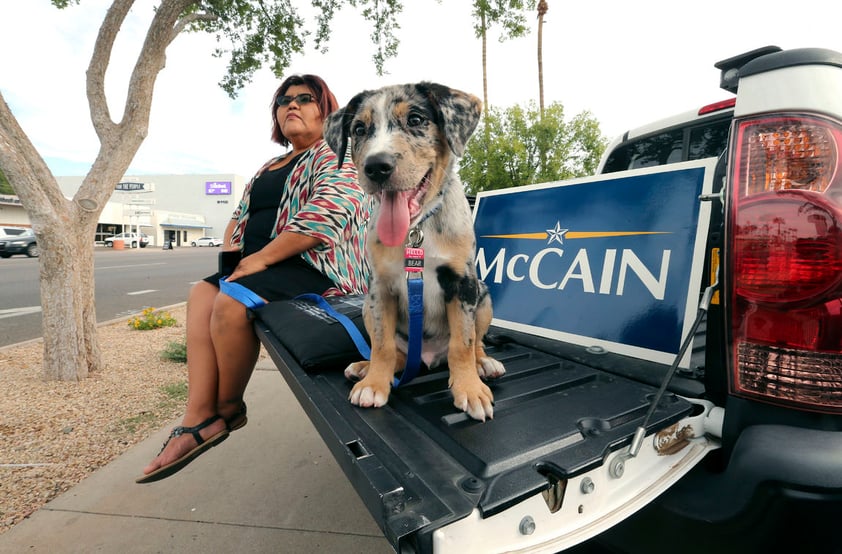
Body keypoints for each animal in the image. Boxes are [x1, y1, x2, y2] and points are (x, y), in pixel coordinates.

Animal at [324, 82, 506, 418]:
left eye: (416, 120)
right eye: (359, 129)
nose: (376, 167)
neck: (417, 229)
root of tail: (428, 356)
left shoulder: (462, 283)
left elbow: (463, 342)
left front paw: (470, 390)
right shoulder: (380, 288)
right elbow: (382, 345)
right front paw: (375, 384)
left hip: (484, 296)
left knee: (476, 343)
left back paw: (484, 364)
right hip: (367, 307)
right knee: (392, 352)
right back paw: (365, 367)